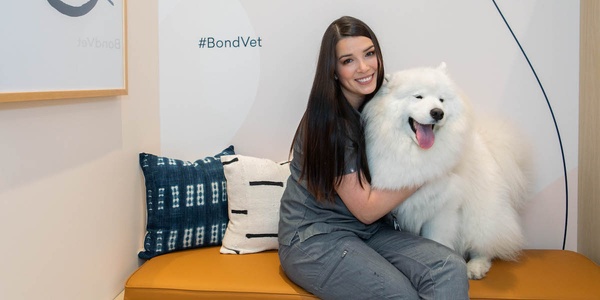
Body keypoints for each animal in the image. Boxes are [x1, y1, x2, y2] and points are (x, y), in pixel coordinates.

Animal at [364, 63, 532, 278]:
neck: (417, 153)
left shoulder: (441, 212)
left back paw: (476, 266)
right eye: (418, 96)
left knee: (486, 244)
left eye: (441, 100)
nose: (437, 112)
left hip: (479, 216)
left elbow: (437, 241)